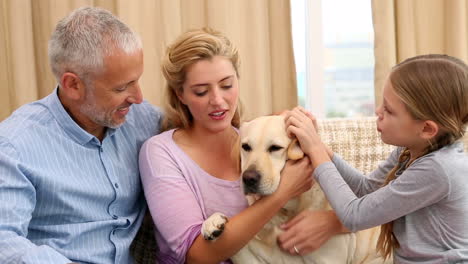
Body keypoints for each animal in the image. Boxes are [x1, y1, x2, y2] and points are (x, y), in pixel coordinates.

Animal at [202, 116, 392, 264]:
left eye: (275, 148)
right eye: (246, 147)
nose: (248, 178)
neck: (287, 209)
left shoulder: (328, 260)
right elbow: (238, 247)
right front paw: (213, 222)